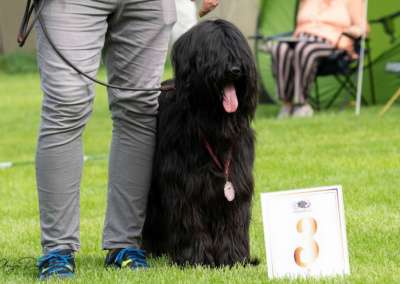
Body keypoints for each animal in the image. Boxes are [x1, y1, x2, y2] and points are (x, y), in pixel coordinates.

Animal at [142, 19, 258, 266]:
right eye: (214, 51)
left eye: (238, 48)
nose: (235, 69)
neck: (212, 126)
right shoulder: (185, 185)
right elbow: (190, 220)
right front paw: (196, 257)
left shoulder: (237, 178)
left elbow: (233, 219)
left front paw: (233, 258)